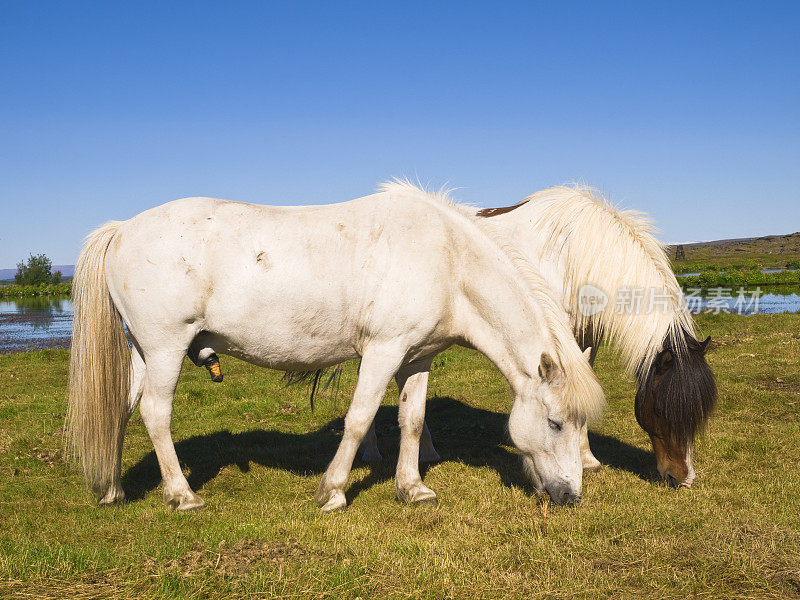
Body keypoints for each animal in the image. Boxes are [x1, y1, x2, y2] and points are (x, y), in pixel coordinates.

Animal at [69, 182, 604, 510]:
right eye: (556, 423)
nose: (571, 496)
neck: (448, 260)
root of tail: (121, 230)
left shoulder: (417, 357)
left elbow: (411, 420)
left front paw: (412, 487)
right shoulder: (384, 351)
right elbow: (360, 418)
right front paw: (333, 491)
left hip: (145, 351)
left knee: (123, 407)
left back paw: (113, 489)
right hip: (165, 348)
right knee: (156, 413)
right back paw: (182, 495)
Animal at [360, 186, 716, 488]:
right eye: (662, 411)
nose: (682, 479)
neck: (572, 254)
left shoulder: (586, 340)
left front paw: (587, 458)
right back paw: (372, 452)